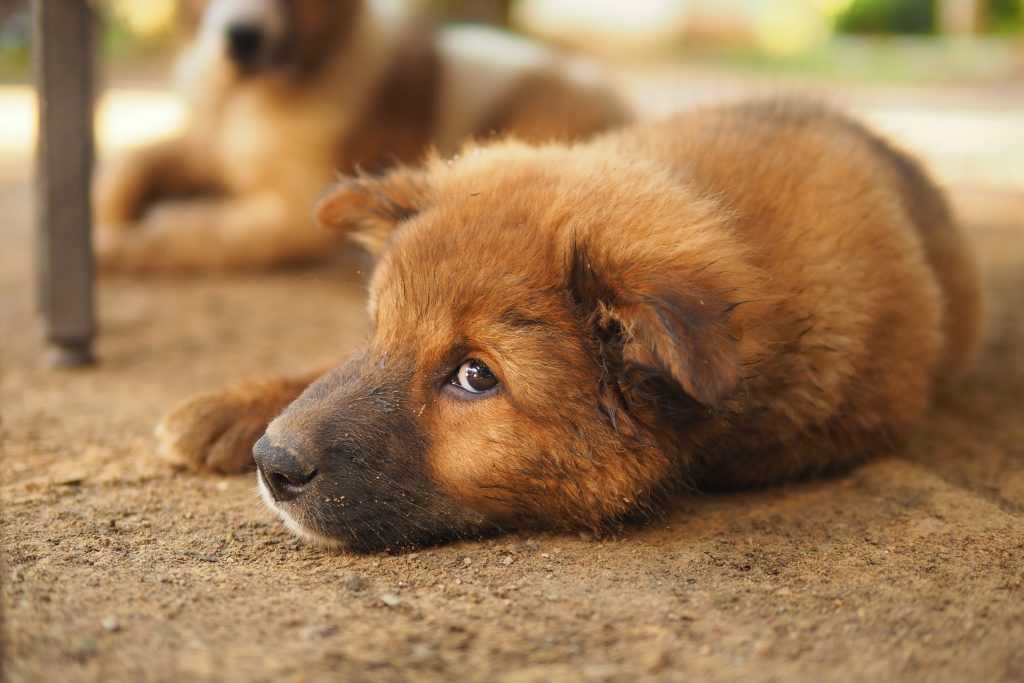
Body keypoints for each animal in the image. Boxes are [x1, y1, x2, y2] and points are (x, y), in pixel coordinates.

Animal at [96, 0, 626, 272]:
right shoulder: (211, 145)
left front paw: (117, 245)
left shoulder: (296, 214)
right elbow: (134, 160)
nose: (243, 38)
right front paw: (107, 212)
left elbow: (196, 234)